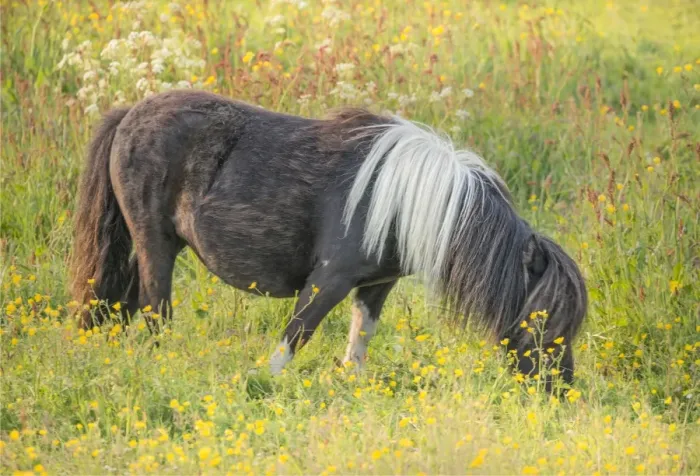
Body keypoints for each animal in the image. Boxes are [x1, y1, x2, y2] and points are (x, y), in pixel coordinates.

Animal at [70, 89, 587, 388]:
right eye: (545, 318)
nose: (560, 389)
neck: (400, 199)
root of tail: (129, 114)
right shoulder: (330, 279)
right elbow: (296, 335)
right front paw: (261, 386)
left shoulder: (375, 285)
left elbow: (360, 340)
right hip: (153, 242)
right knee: (155, 309)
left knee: (125, 303)